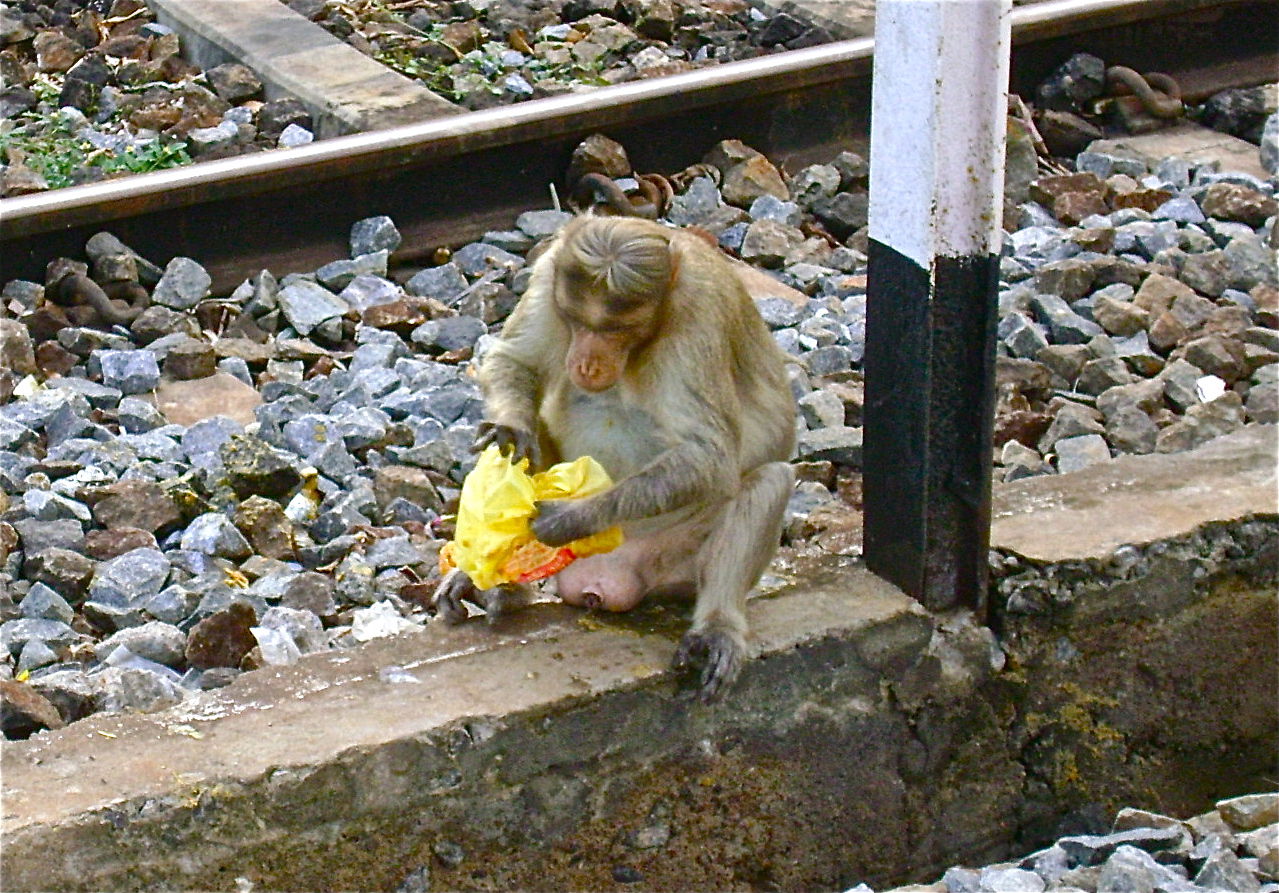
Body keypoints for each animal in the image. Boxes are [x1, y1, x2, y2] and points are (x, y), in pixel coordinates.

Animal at [434, 215, 797, 701]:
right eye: (577, 320)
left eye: (614, 330)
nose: (587, 362)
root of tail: (601, 579)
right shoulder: (549, 273)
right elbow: (516, 363)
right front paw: (510, 431)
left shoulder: (700, 314)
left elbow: (709, 456)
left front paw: (568, 518)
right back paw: (494, 585)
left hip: (672, 565)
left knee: (770, 481)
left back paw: (717, 628)